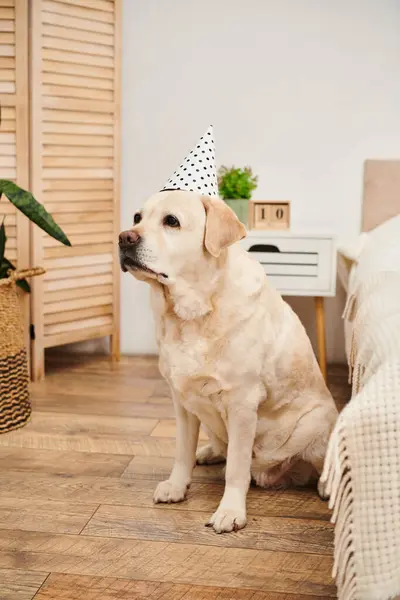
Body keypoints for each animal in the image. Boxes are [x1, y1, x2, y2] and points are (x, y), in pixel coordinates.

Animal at [119, 190, 338, 532]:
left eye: (172, 221)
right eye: (136, 218)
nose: (124, 237)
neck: (192, 314)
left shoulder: (242, 402)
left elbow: (236, 467)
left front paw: (230, 511)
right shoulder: (181, 400)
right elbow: (182, 452)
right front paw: (177, 486)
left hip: (315, 423)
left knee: (323, 461)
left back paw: (327, 486)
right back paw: (209, 452)